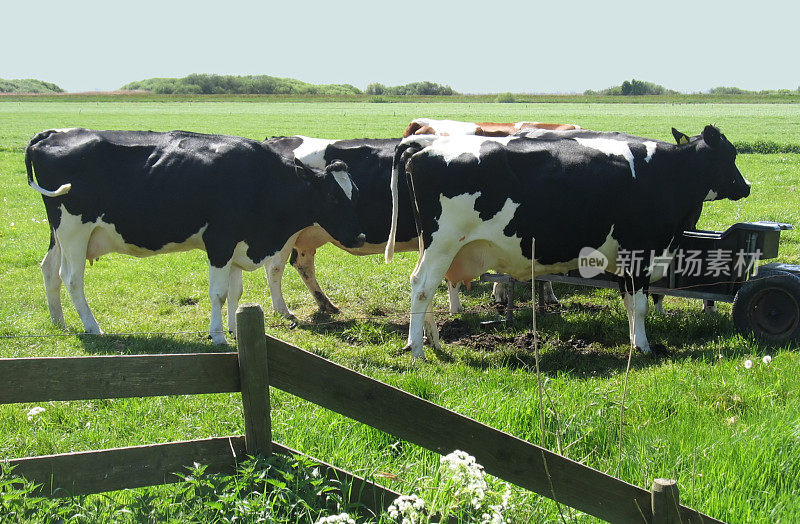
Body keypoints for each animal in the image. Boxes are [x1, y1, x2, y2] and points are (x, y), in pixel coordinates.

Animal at [25, 129, 362, 344]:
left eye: (355, 192)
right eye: (332, 197)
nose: (359, 236)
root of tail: (50, 134)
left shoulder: (239, 246)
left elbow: (236, 293)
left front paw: (237, 331)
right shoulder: (220, 241)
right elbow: (219, 293)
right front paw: (218, 335)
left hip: (58, 232)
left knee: (49, 270)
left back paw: (59, 323)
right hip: (74, 231)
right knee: (71, 278)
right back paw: (92, 327)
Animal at [388, 125, 752, 358]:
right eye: (730, 155)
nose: (746, 186)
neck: (670, 173)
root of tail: (425, 147)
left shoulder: (626, 258)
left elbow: (629, 303)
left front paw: (634, 341)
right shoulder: (641, 251)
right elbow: (640, 305)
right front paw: (644, 348)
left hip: (435, 247)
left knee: (423, 286)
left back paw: (434, 342)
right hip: (443, 243)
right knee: (422, 287)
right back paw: (417, 350)